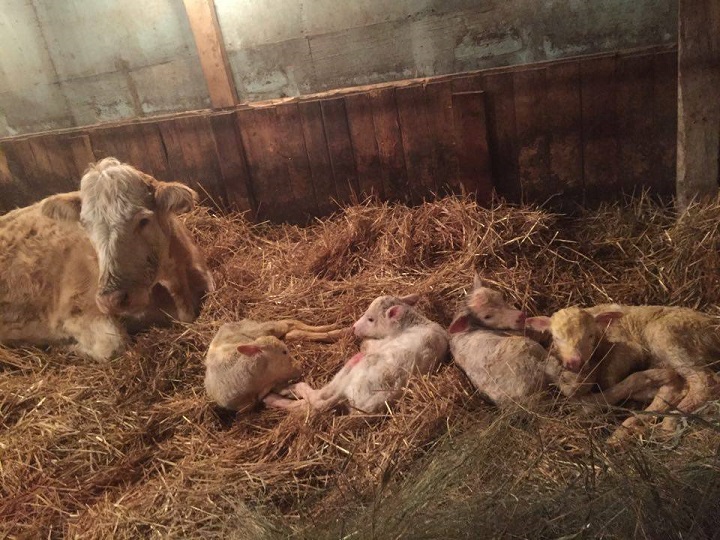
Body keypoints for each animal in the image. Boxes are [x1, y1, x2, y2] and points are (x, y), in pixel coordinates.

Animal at [0, 157, 214, 360]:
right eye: (85, 225)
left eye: (143, 220)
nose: (111, 299)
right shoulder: (73, 312)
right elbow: (114, 344)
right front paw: (65, 345)